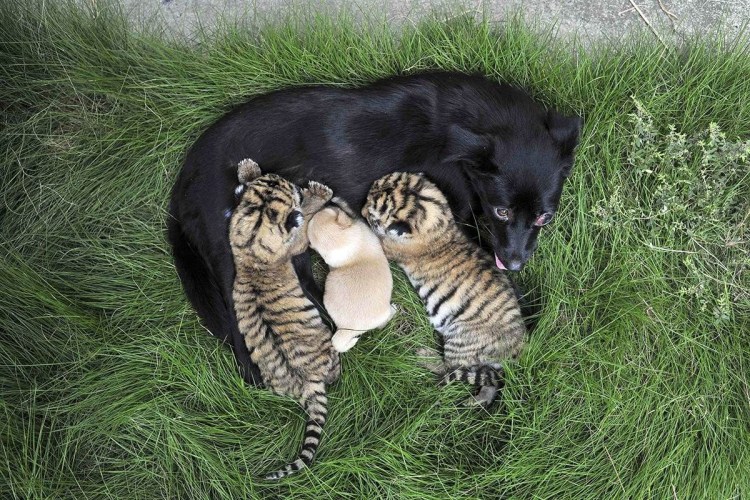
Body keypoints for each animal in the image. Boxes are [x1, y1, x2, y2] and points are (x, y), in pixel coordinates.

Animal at [229, 159, 340, 479]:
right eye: (290, 189)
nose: (294, 183)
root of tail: (307, 385)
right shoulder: (295, 243)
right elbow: (304, 225)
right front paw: (319, 193)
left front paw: (247, 168)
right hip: (329, 350)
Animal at [361, 172, 526, 407]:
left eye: (373, 215)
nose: (362, 209)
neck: (440, 220)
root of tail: (516, 350)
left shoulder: (389, 247)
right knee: (487, 381)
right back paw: (476, 401)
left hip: (460, 339)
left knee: (449, 368)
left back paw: (423, 354)